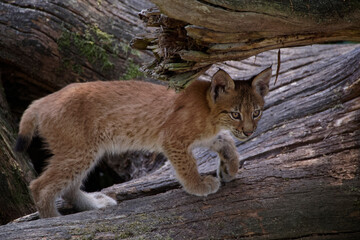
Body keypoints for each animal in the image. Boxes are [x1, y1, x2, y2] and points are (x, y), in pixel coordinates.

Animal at [16, 67, 270, 218]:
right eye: (235, 114)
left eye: (256, 113)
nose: (249, 132)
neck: (210, 110)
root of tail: (44, 99)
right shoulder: (171, 138)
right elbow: (187, 165)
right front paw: (197, 185)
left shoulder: (207, 135)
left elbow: (226, 140)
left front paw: (230, 168)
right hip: (80, 150)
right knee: (39, 186)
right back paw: (53, 220)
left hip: (86, 151)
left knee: (67, 188)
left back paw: (95, 205)